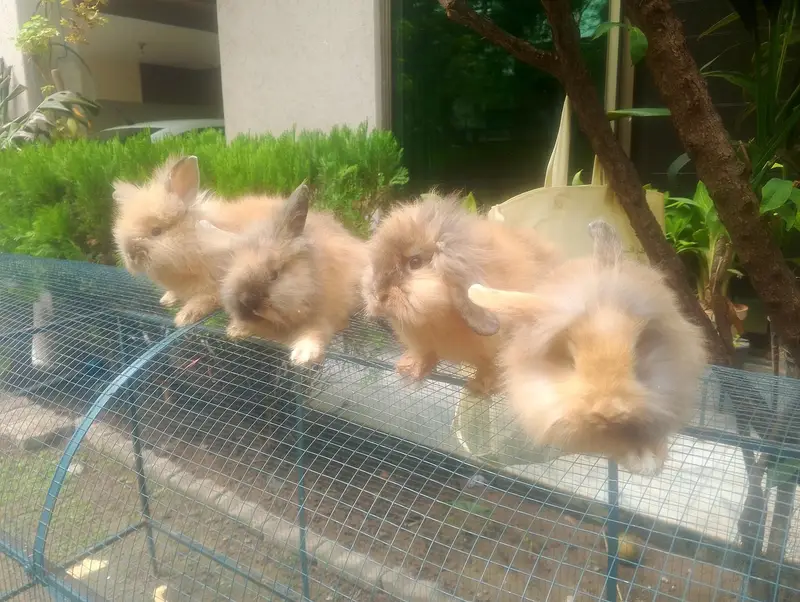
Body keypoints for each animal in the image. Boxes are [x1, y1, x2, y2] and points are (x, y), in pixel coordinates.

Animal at [112, 155, 284, 327]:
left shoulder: (217, 285)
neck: (194, 246)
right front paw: (166, 299)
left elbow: (205, 299)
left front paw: (184, 317)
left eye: (156, 231)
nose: (131, 255)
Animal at [196, 182, 368, 366]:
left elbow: (316, 330)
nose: (248, 302)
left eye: (275, 274)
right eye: (230, 276)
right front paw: (236, 330)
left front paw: (302, 356)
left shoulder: (326, 314)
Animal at [362, 191, 560, 394]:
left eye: (415, 262)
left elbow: (490, 365)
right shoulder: (420, 344)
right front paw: (410, 370)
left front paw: (481, 386)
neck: (437, 320)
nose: (378, 294)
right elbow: (424, 354)